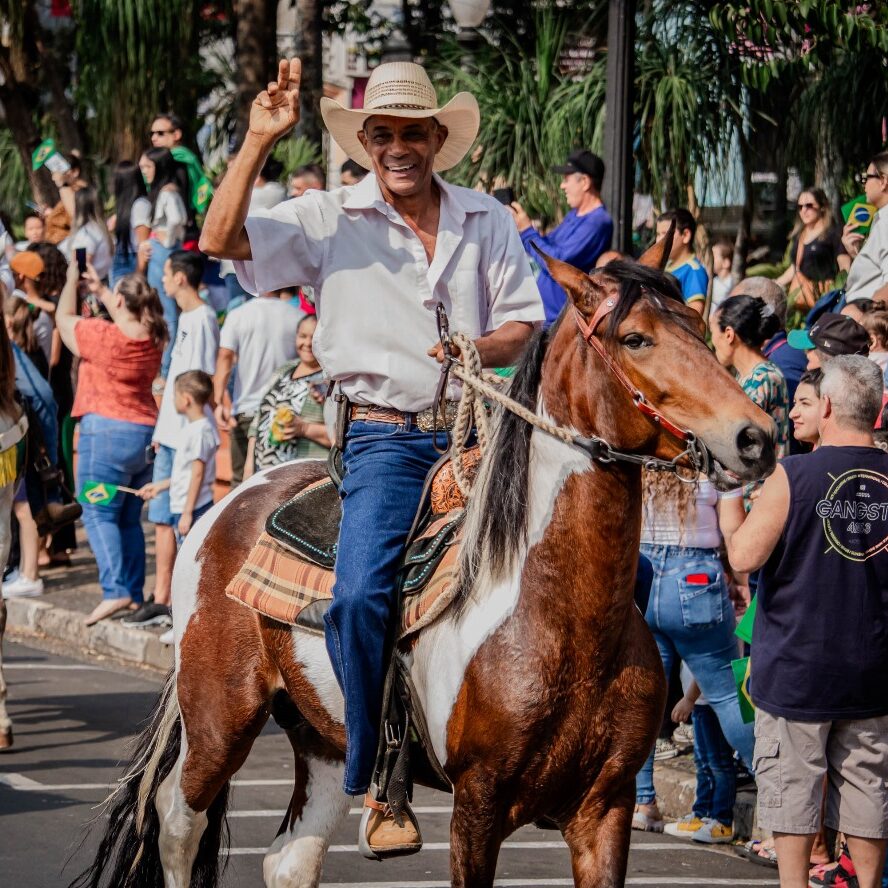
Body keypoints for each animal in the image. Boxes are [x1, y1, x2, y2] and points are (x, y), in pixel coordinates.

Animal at [73, 239, 772, 884]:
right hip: (220, 715)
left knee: (289, 860)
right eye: (635, 338)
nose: (756, 436)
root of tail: (226, 504)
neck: (557, 616)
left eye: (699, 325)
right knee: (176, 821)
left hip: (325, 740)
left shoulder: (606, 807)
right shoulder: (478, 805)